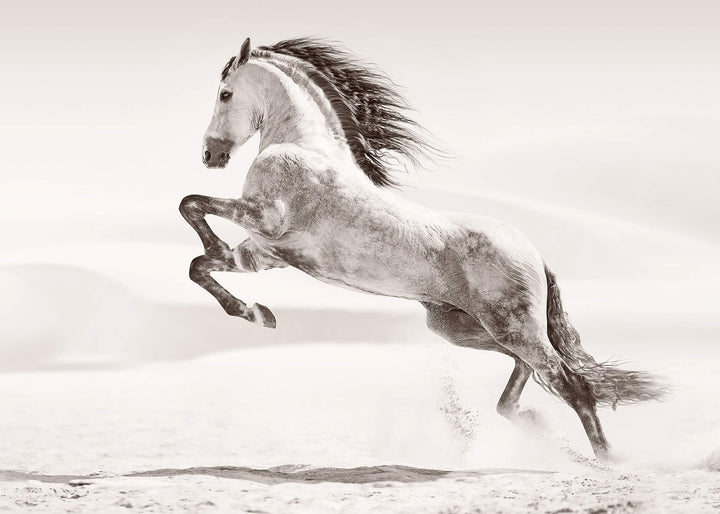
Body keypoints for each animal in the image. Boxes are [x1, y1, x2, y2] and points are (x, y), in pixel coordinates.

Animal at [179, 37, 666, 461]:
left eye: (225, 93)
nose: (209, 155)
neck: (303, 146)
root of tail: (534, 254)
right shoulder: (263, 254)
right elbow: (199, 265)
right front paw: (257, 313)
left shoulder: (265, 219)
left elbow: (191, 205)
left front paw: (249, 301)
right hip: (463, 328)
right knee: (528, 373)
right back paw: (533, 423)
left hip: (512, 327)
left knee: (571, 384)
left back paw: (607, 460)